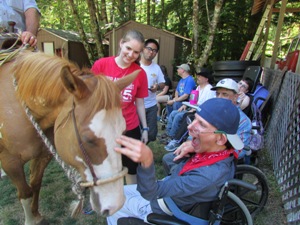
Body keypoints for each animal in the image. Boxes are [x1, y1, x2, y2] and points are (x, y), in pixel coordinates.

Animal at [0, 51, 138, 225]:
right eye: (87, 140)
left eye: (124, 132)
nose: (116, 204)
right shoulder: (10, 162)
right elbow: (25, 193)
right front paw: (31, 220)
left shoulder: (44, 154)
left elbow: (35, 184)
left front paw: (36, 215)